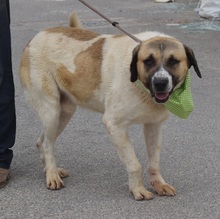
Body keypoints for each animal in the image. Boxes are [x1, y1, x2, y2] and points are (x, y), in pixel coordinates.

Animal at [19, 12, 202, 200]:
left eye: (173, 61)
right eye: (148, 61)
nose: (160, 83)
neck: (138, 83)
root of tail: (35, 37)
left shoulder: (154, 125)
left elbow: (154, 161)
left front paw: (159, 184)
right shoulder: (115, 125)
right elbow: (134, 163)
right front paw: (137, 189)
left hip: (65, 112)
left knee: (41, 142)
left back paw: (52, 170)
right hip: (51, 111)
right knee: (47, 144)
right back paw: (52, 175)